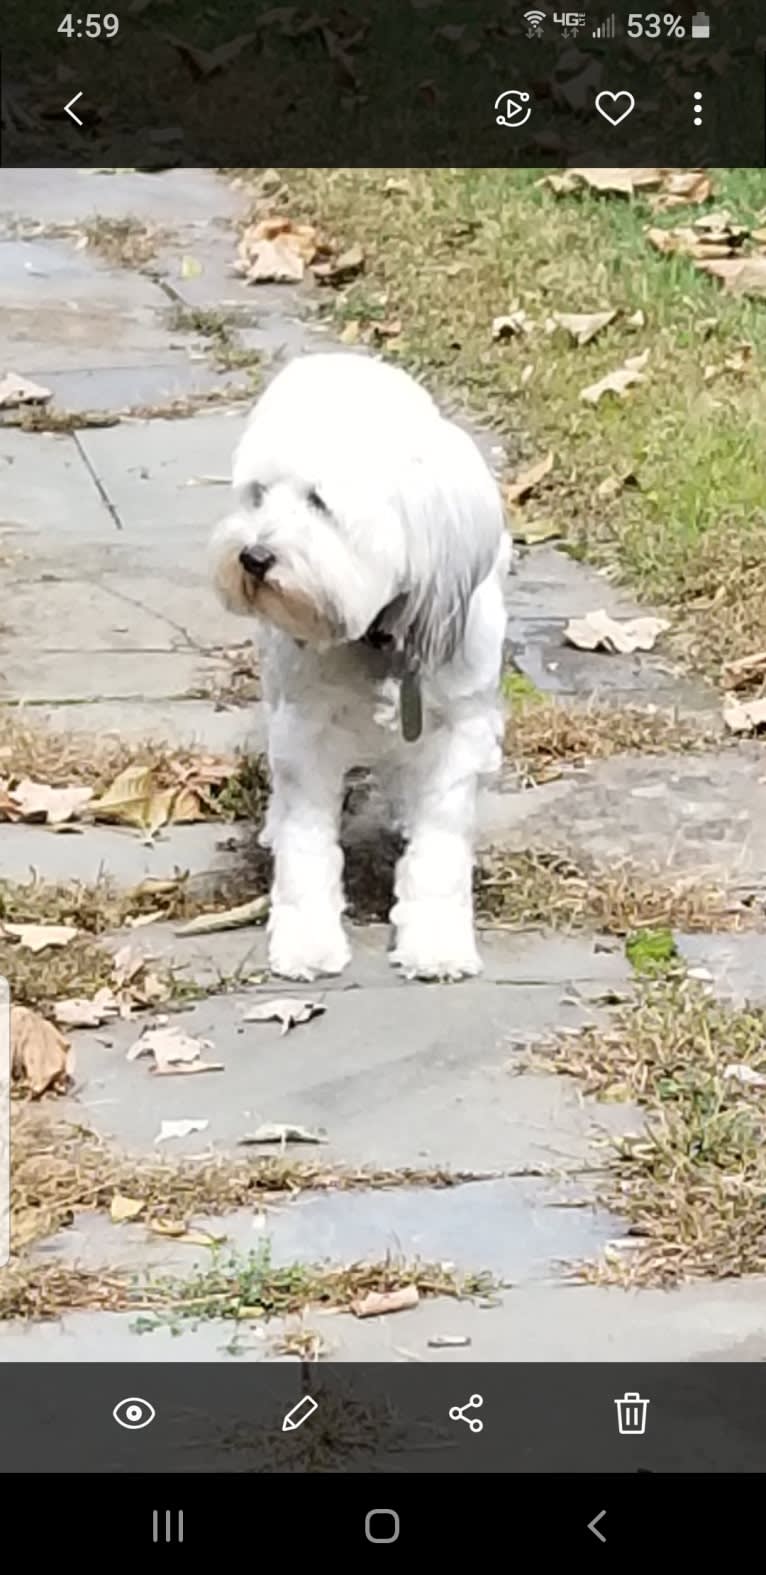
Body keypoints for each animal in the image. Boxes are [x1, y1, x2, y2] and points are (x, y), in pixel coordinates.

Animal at [209, 351, 507, 976]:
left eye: (319, 502)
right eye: (257, 495)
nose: (253, 556)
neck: (380, 636)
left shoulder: (461, 732)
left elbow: (440, 849)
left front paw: (437, 941)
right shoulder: (307, 731)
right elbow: (307, 846)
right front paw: (306, 939)